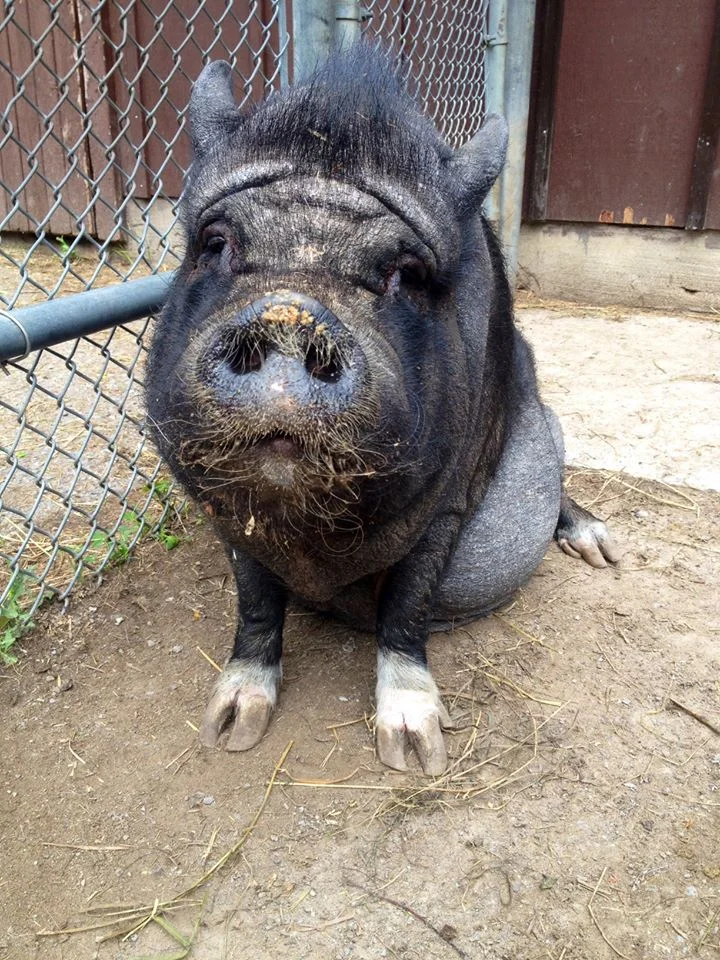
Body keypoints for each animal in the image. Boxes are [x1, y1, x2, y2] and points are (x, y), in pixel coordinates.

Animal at [146, 47, 618, 776]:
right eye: (216, 242)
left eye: (407, 274)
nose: (288, 316)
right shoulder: (224, 507)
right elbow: (255, 602)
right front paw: (226, 731)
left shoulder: (451, 498)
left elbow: (406, 604)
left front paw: (417, 752)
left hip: (547, 423)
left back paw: (602, 550)